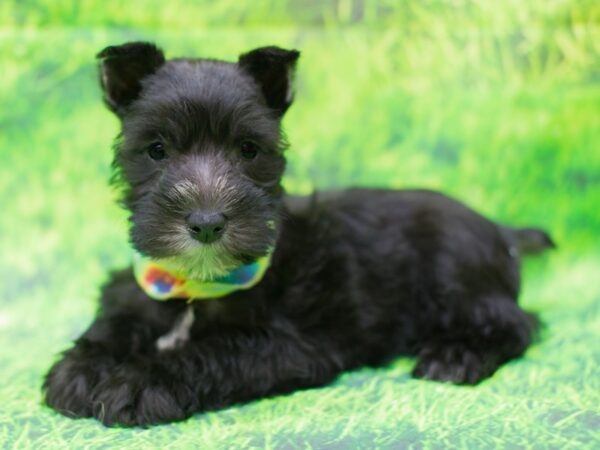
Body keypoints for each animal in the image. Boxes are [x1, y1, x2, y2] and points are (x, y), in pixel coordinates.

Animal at [44, 44, 556, 428]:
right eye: (156, 149)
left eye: (248, 150)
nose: (207, 222)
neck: (196, 286)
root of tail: (499, 228)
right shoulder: (136, 290)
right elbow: (116, 321)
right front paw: (81, 367)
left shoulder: (290, 344)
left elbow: (213, 350)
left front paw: (140, 381)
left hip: (456, 268)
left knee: (517, 322)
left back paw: (455, 355)